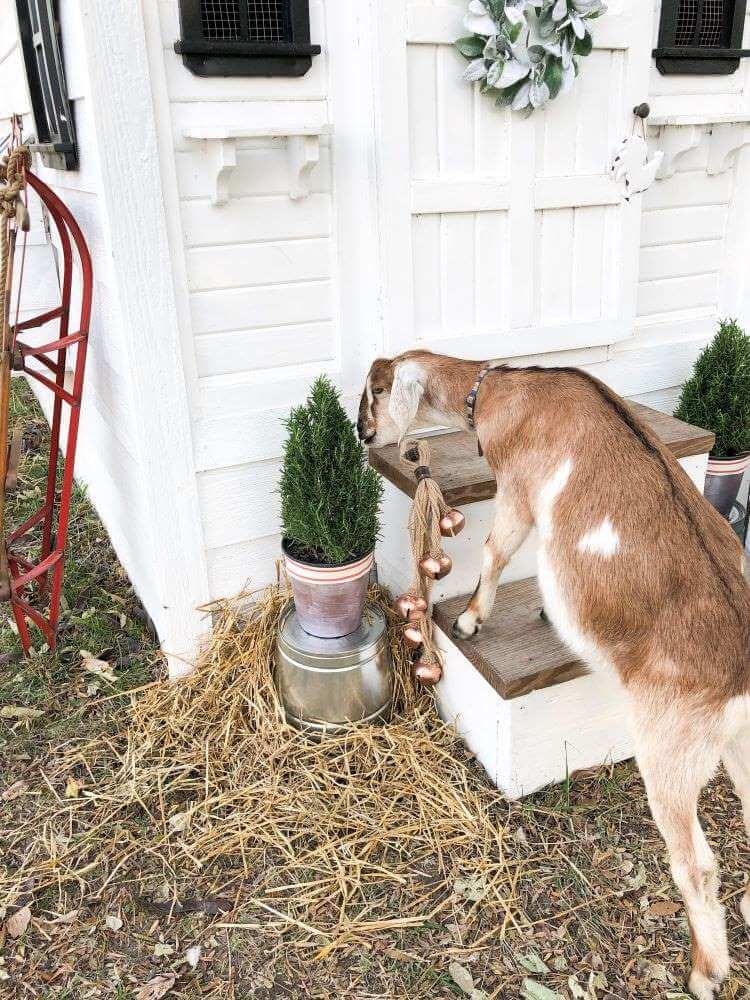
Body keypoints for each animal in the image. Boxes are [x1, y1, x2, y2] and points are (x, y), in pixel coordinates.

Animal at [358, 348, 750, 996]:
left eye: (377, 392)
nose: (364, 434)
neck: (503, 389)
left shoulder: (518, 488)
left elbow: (496, 551)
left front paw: (470, 620)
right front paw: (542, 611)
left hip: (670, 746)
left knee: (695, 864)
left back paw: (705, 971)